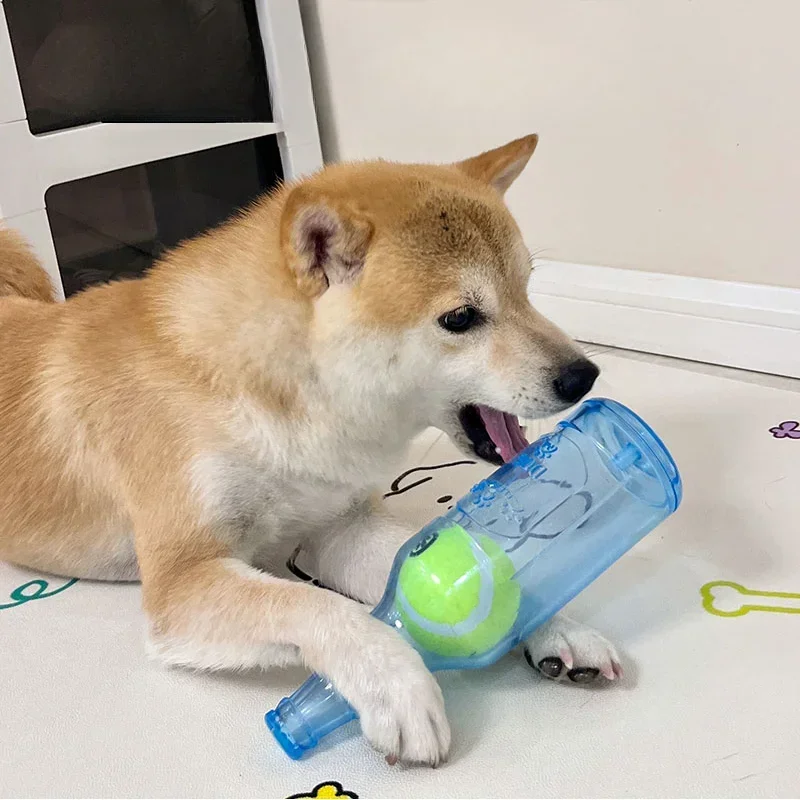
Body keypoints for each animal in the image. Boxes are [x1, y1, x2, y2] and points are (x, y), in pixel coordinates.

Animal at [0, 136, 620, 764]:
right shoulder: (182, 581)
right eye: (461, 318)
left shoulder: (334, 527)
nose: (583, 376)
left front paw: (553, 623)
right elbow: (317, 606)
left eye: (527, 290)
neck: (268, 394)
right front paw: (395, 680)